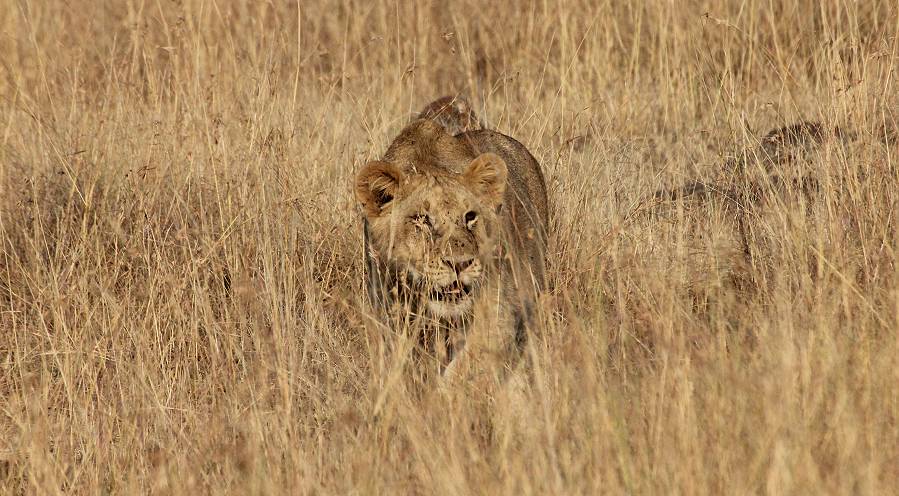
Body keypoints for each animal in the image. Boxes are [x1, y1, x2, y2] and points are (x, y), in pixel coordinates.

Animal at [354, 96, 548, 380]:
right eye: (421, 220)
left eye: (470, 216)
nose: (460, 264)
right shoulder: (386, 309)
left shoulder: (499, 309)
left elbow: (467, 369)